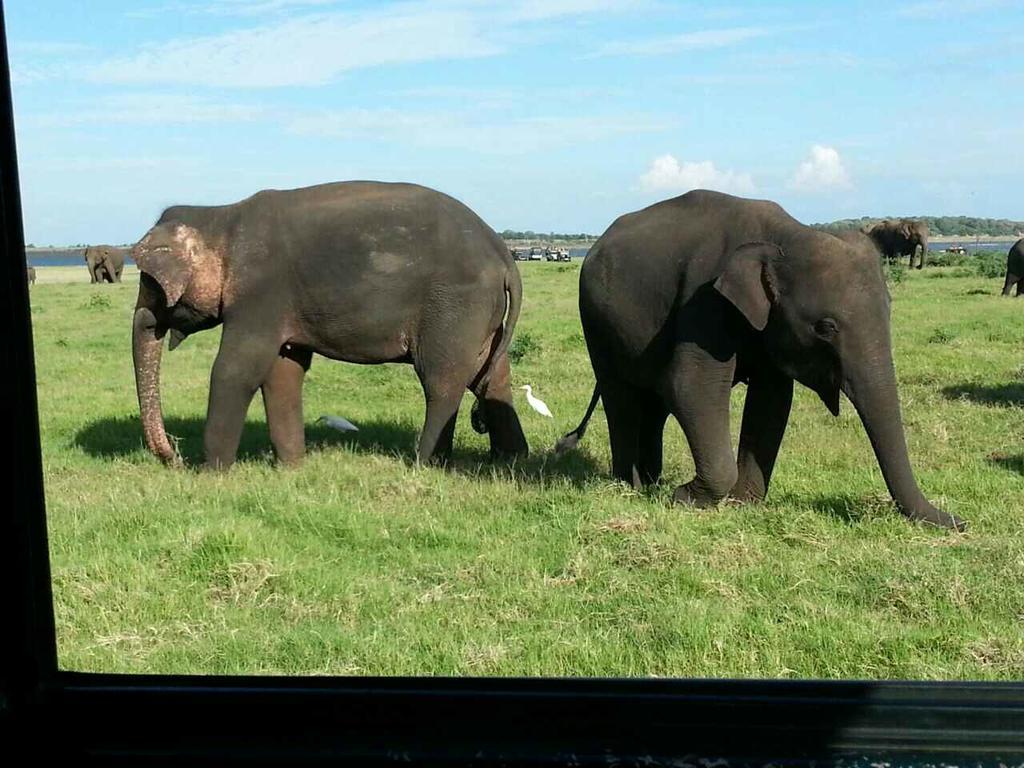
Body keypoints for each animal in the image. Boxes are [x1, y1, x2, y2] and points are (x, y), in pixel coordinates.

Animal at [131, 180, 528, 473]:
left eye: (149, 283)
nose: (174, 457)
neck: (222, 215)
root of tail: (504, 253)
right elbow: (283, 371)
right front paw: (292, 468)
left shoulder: (260, 292)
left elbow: (237, 368)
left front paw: (212, 473)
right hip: (482, 315)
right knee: (491, 378)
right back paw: (510, 459)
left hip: (455, 306)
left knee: (442, 380)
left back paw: (425, 463)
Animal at [557, 189, 962, 532]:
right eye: (825, 327)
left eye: (890, 311)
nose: (961, 521)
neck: (786, 235)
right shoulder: (703, 300)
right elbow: (690, 385)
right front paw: (685, 497)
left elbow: (773, 399)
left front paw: (743, 503)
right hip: (596, 322)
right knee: (622, 396)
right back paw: (633, 485)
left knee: (653, 403)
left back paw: (651, 481)